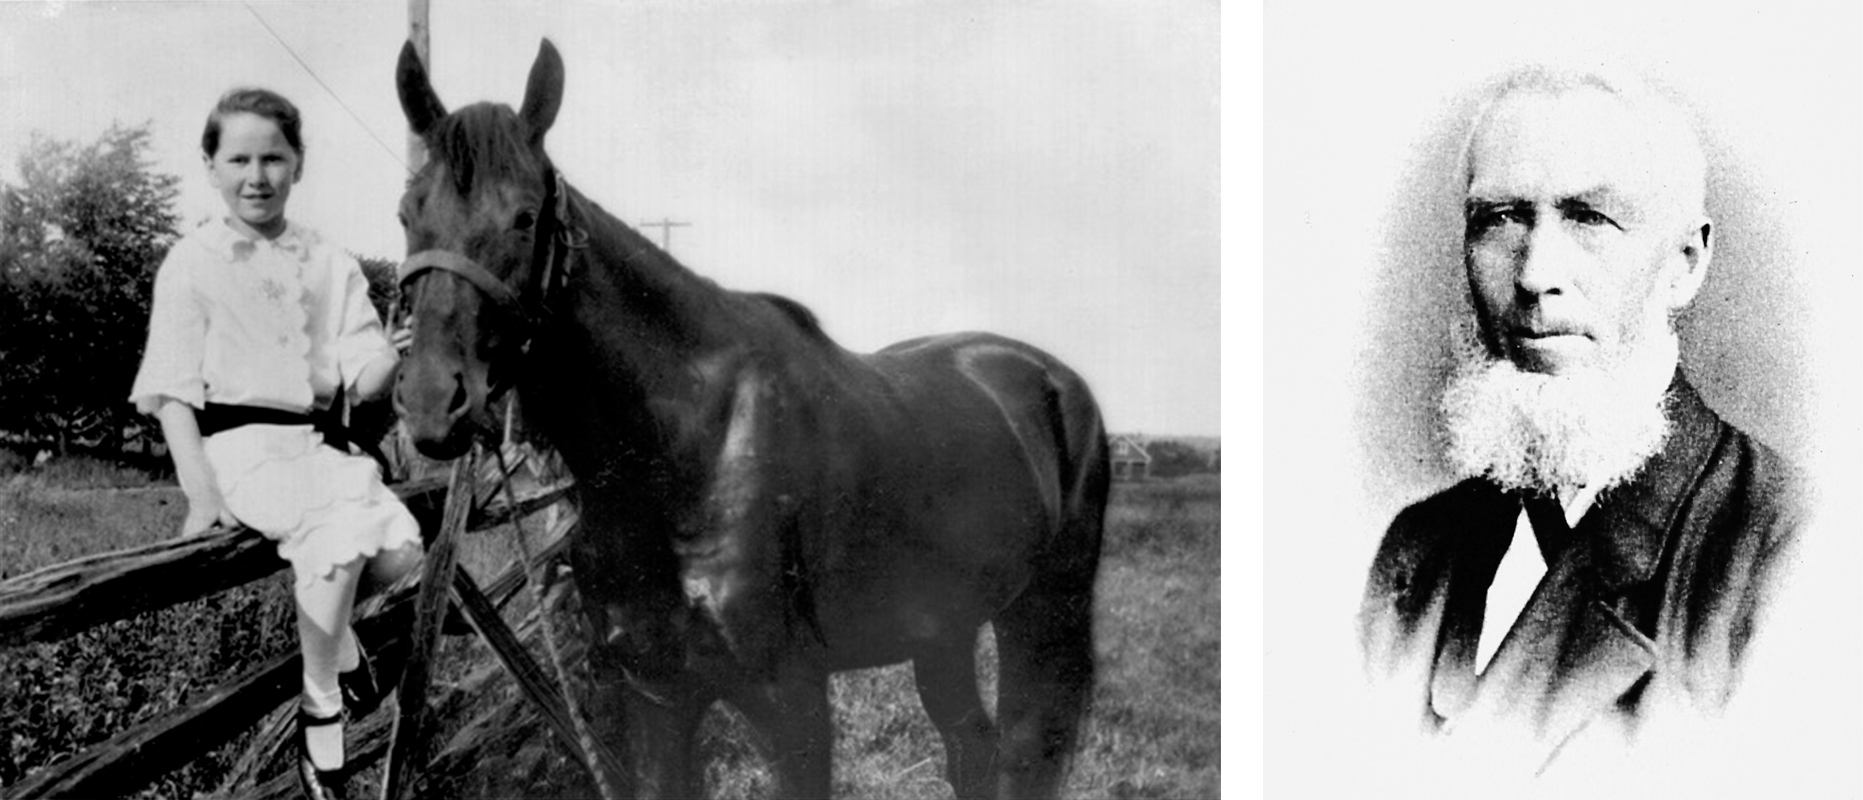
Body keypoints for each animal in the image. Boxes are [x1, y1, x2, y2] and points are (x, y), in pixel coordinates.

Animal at [391, 39, 1109, 800]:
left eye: (525, 217)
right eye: (408, 212)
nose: (433, 400)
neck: (682, 454)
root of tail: (1054, 380)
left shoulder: (789, 702)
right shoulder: (656, 698)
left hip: (1041, 617)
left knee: (1024, 755)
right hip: (944, 627)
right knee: (971, 747)